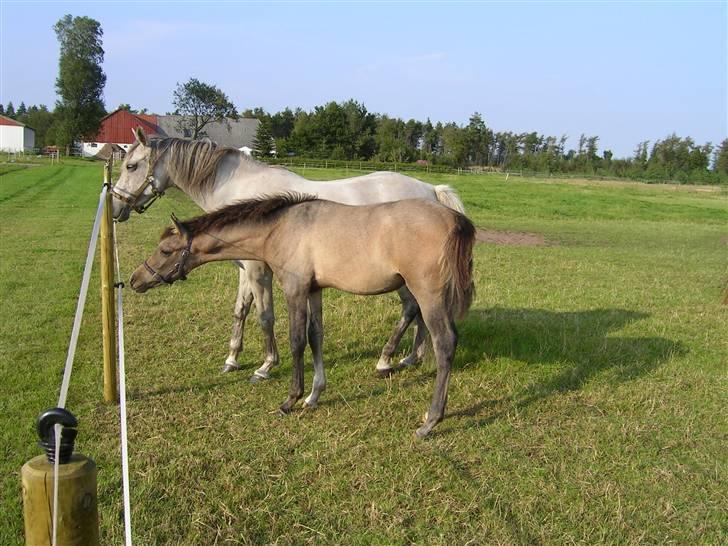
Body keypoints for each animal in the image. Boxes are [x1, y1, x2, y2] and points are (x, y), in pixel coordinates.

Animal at [114, 128, 466, 380]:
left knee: (412, 308)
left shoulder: (259, 270)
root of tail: (429, 190)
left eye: (132, 165)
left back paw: (387, 359)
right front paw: (232, 359)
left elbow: (265, 315)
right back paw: (412, 357)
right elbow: (240, 311)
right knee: (419, 312)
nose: (117, 207)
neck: (240, 189)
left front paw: (266, 365)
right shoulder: (244, 268)